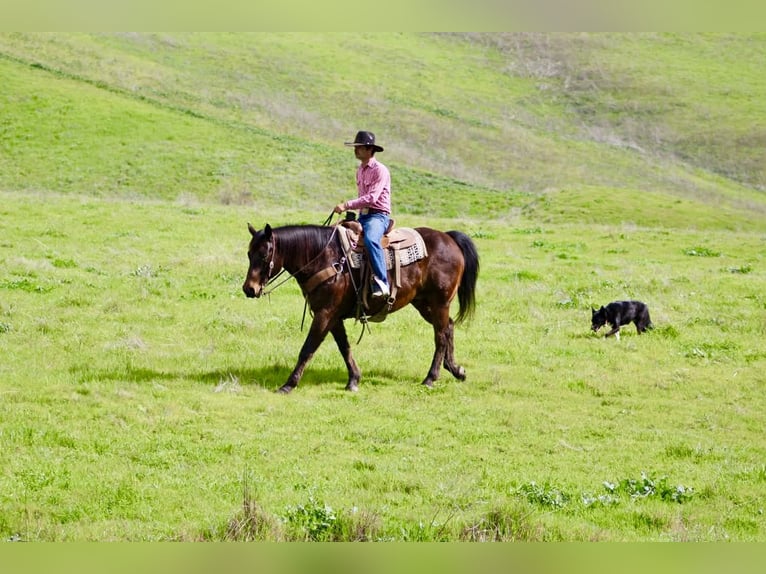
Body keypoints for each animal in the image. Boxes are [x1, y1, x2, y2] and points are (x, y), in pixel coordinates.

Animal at [242, 221, 479, 393]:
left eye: (264, 254)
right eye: (249, 253)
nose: (249, 289)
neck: (324, 258)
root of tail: (449, 238)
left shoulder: (324, 314)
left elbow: (307, 349)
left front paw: (288, 384)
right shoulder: (333, 316)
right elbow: (344, 347)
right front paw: (354, 380)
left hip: (439, 303)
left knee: (440, 336)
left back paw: (430, 378)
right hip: (424, 304)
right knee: (448, 328)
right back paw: (456, 370)